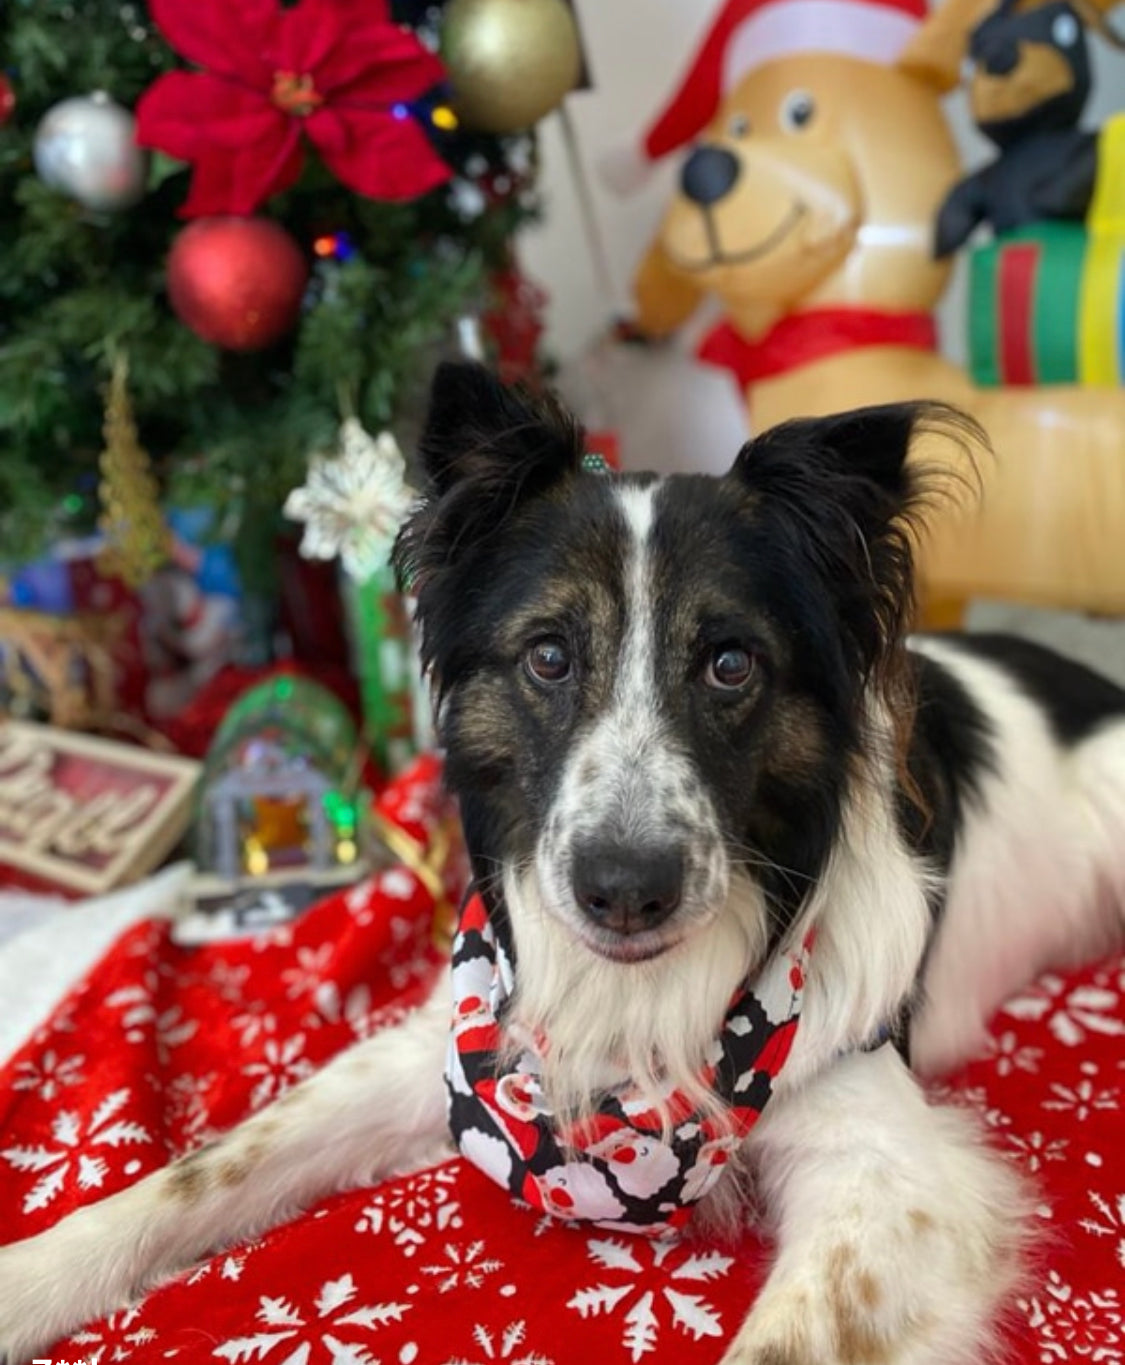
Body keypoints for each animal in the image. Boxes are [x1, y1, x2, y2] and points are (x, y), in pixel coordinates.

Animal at [2, 363, 1125, 1365]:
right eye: (547, 656)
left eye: (731, 664)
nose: (625, 892)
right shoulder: (465, 1044)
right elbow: (206, 1169)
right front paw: (32, 1280)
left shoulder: (894, 1177)